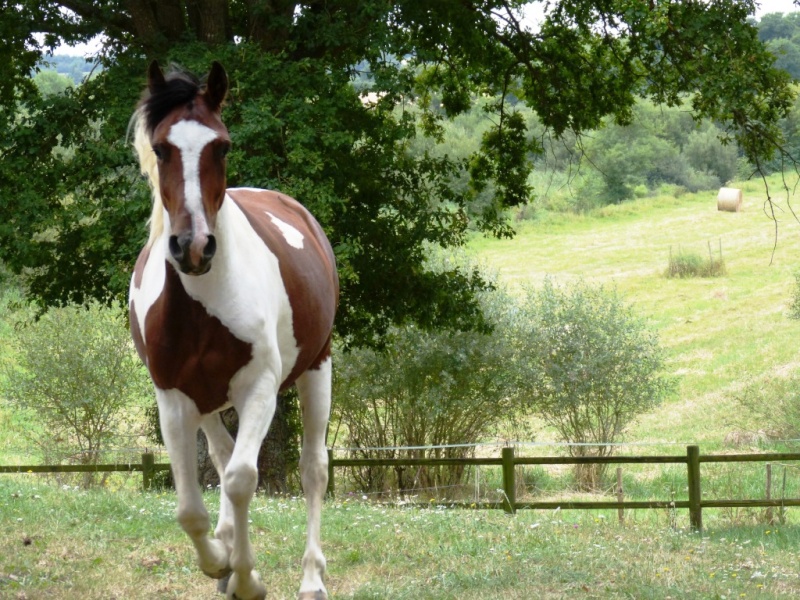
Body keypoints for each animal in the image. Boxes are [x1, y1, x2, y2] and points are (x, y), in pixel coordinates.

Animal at [127, 61, 338, 600]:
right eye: (161, 147)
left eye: (221, 145)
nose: (194, 247)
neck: (203, 306)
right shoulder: (174, 398)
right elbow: (190, 508)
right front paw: (220, 562)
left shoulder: (258, 388)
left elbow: (243, 479)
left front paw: (246, 578)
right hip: (206, 400)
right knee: (221, 459)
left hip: (317, 367)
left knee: (312, 470)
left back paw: (311, 579)